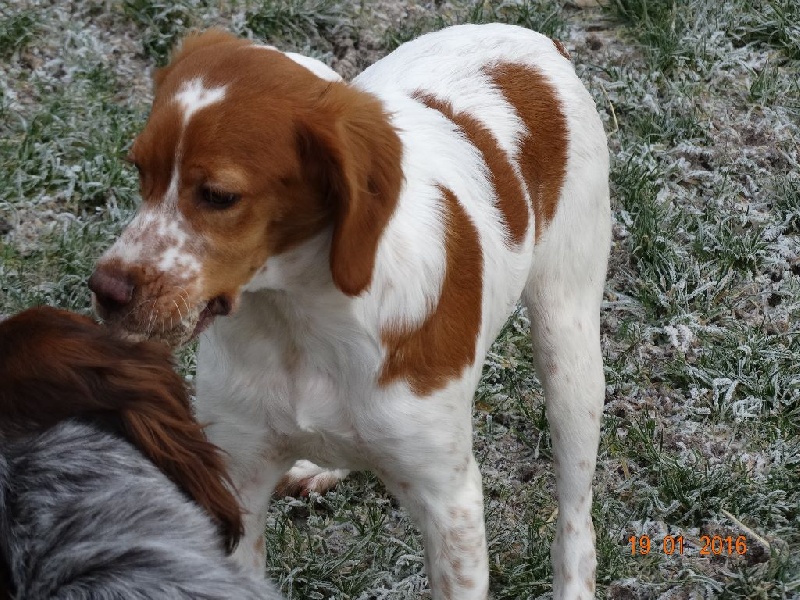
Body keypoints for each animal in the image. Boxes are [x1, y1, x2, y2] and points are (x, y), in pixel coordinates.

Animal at [89, 24, 610, 598]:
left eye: (219, 196)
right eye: (140, 170)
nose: (105, 290)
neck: (301, 319)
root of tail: (535, 39)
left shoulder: (451, 505)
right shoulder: (237, 474)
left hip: (569, 350)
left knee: (577, 518)